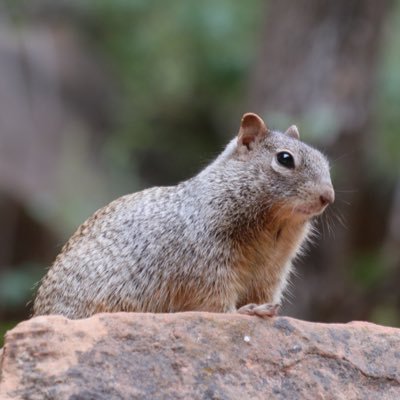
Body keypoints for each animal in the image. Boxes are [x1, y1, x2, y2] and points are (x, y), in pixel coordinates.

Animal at [32, 112, 334, 318]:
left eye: (324, 161)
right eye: (285, 159)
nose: (328, 197)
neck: (274, 226)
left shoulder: (272, 272)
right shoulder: (207, 263)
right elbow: (216, 304)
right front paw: (247, 311)